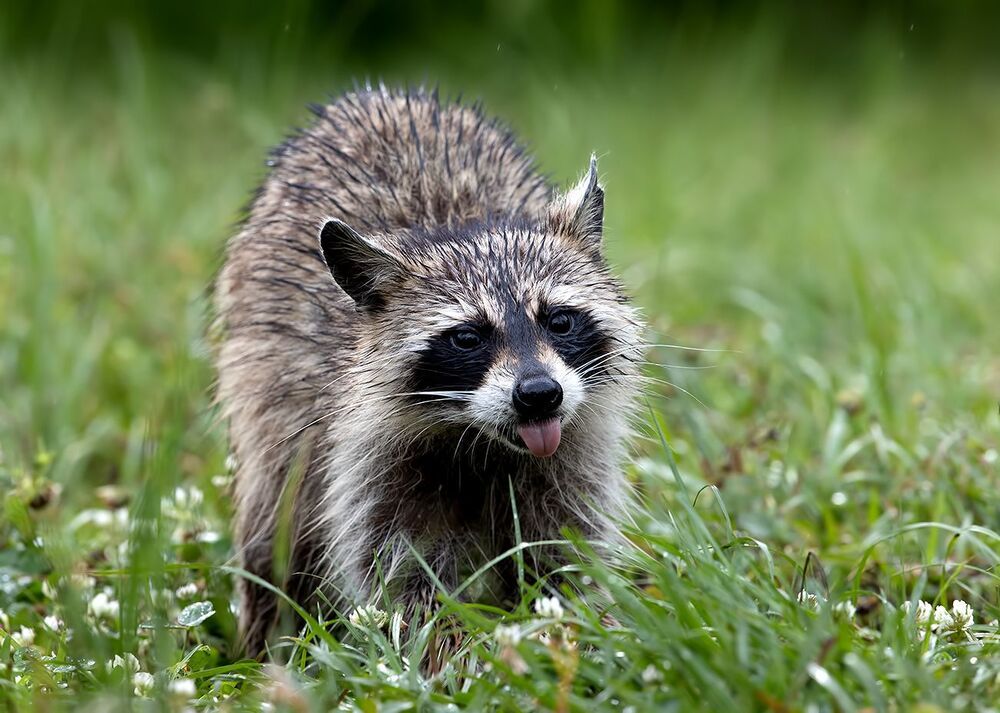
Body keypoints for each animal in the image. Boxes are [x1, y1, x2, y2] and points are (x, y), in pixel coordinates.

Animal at [215, 86, 644, 655]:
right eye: (467, 337)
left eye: (559, 320)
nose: (538, 394)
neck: (480, 442)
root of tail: (380, 94)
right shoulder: (368, 458)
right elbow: (404, 577)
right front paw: (448, 650)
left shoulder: (574, 450)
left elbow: (562, 551)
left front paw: (575, 630)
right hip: (266, 396)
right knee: (274, 524)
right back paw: (268, 639)